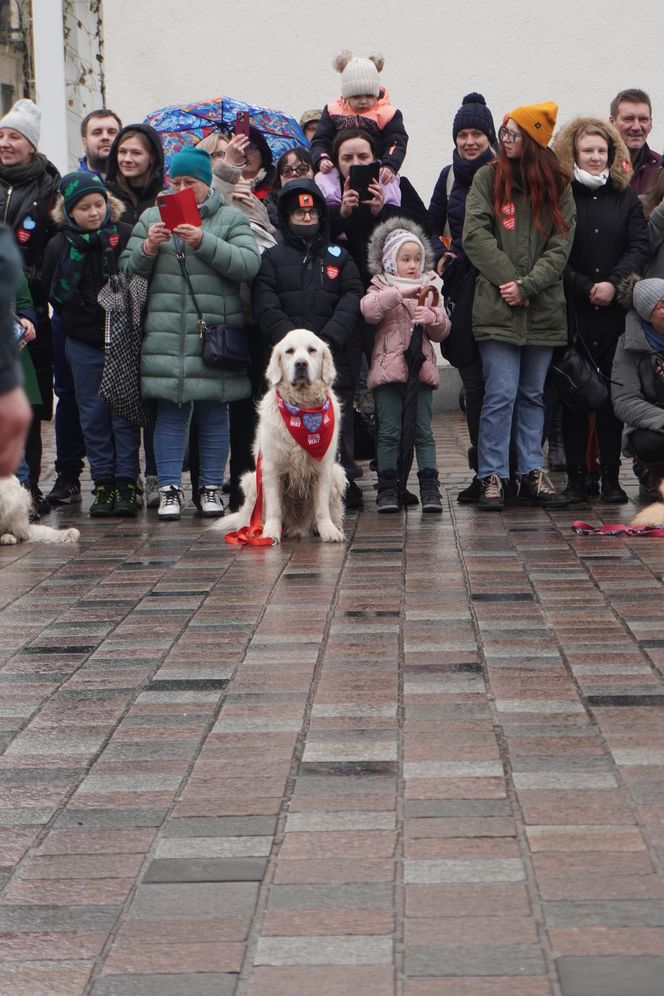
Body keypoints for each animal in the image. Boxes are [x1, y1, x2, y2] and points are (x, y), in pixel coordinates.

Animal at [215, 330, 348, 540]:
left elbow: (321, 507)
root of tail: (297, 527)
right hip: (252, 481)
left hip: (337, 473)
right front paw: (270, 533)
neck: (302, 409)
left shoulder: (324, 468)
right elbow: (274, 508)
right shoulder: (271, 468)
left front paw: (329, 531)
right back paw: (254, 530)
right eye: (289, 351)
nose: (301, 364)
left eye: (312, 350)